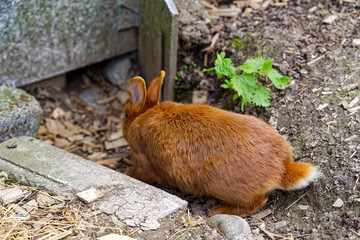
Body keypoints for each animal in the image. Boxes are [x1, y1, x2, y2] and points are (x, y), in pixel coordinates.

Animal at [122, 70, 320, 217]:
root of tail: (283, 168)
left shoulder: (143, 162)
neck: (145, 114)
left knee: (257, 202)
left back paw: (218, 210)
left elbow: (140, 173)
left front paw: (125, 173)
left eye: (125, 114)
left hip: (224, 187)